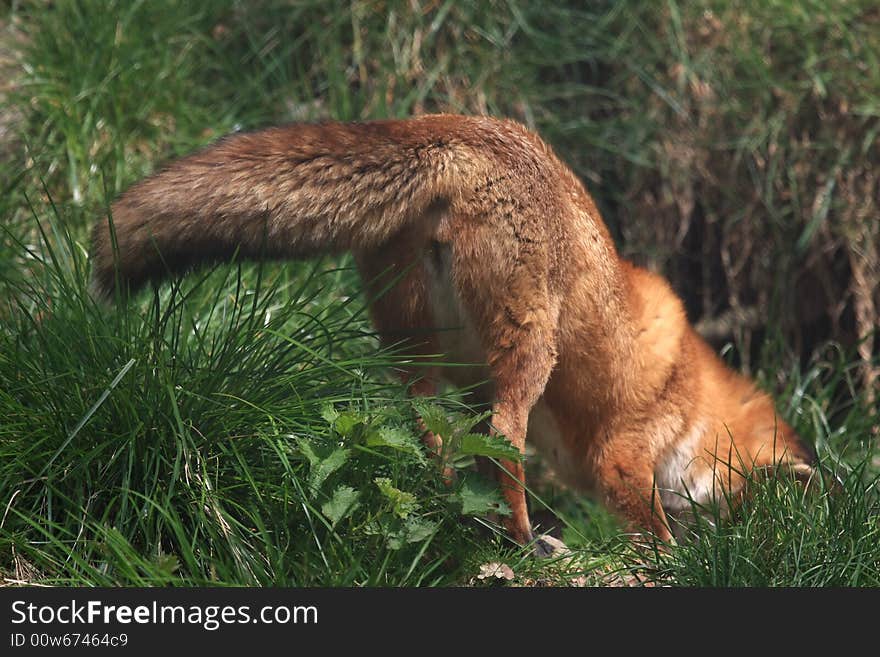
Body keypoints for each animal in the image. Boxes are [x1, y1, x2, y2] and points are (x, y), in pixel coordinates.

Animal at [93, 114, 816, 548]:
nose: (733, 549)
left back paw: (448, 510)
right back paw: (524, 540)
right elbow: (650, 533)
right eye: (742, 505)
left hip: (417, 341)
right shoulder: (624, 451)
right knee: (501, 437)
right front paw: (674, 562)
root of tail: (454, 128)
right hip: (531, 346)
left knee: (428, 427)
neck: (693, 394)